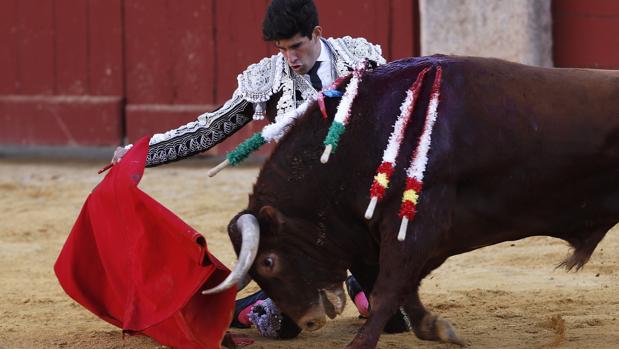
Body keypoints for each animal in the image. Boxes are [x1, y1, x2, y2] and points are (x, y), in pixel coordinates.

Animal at [205, 55, 619, 346]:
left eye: (269, 261)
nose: (308, 321)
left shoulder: (415, 225)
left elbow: (389, 288)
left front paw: (361, 344)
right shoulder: (373, 234)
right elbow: (398, 289)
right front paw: (436, 328)